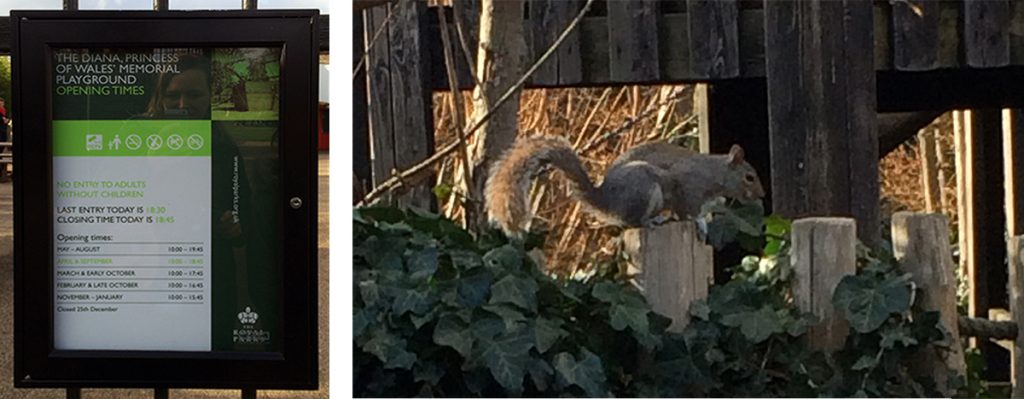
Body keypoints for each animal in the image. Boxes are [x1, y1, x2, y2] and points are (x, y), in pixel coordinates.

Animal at [483, 136, 765, 238]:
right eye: (750, 177)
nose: (762, 195)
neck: (715, 174)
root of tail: (605, 198)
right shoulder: (687, 186)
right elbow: (688, 211)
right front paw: (700, 223)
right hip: (645, 188)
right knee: (632, 221)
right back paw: (652, 221)